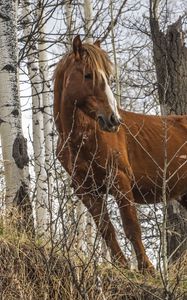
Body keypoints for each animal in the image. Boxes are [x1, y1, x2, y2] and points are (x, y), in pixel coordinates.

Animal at [53, 35, 187, 274]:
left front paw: (147, 269)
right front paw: (123, 266)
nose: (113, 119)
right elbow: (107, 229)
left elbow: (131, 227)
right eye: (88, 75)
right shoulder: (86, 191)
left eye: (107, 76)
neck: (83, 137)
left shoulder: (120, 180)